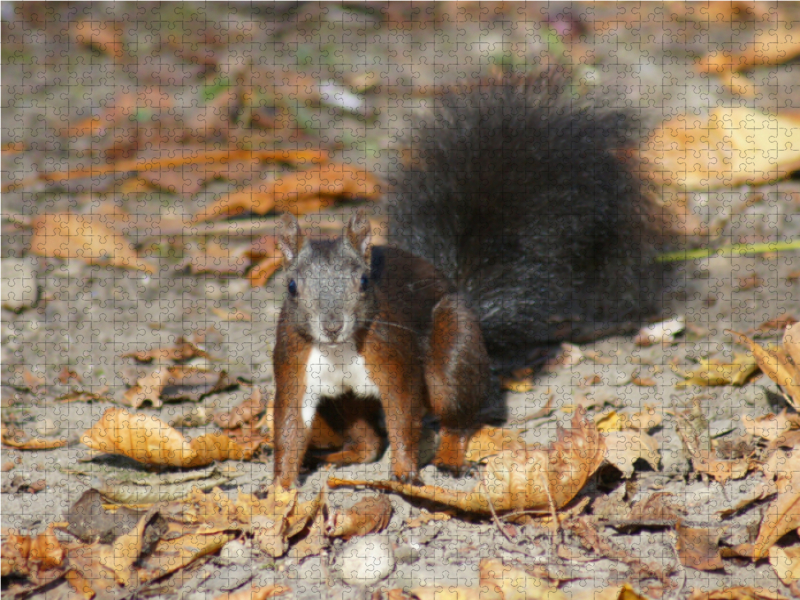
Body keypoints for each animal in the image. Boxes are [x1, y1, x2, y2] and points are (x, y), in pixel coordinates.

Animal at [268, 72, 668, 490]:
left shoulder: (394, 357)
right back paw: (342, 456)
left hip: (454, 349)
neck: (338, 350)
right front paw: (280, 488)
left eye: (363, 282)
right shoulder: (294, 364)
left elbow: (403, 415)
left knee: (454, 417)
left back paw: (449, 459)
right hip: (344, 401)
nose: (331, 326)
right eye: (292, 287)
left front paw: (405, 471)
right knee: (366, 437)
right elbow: (290, 424)